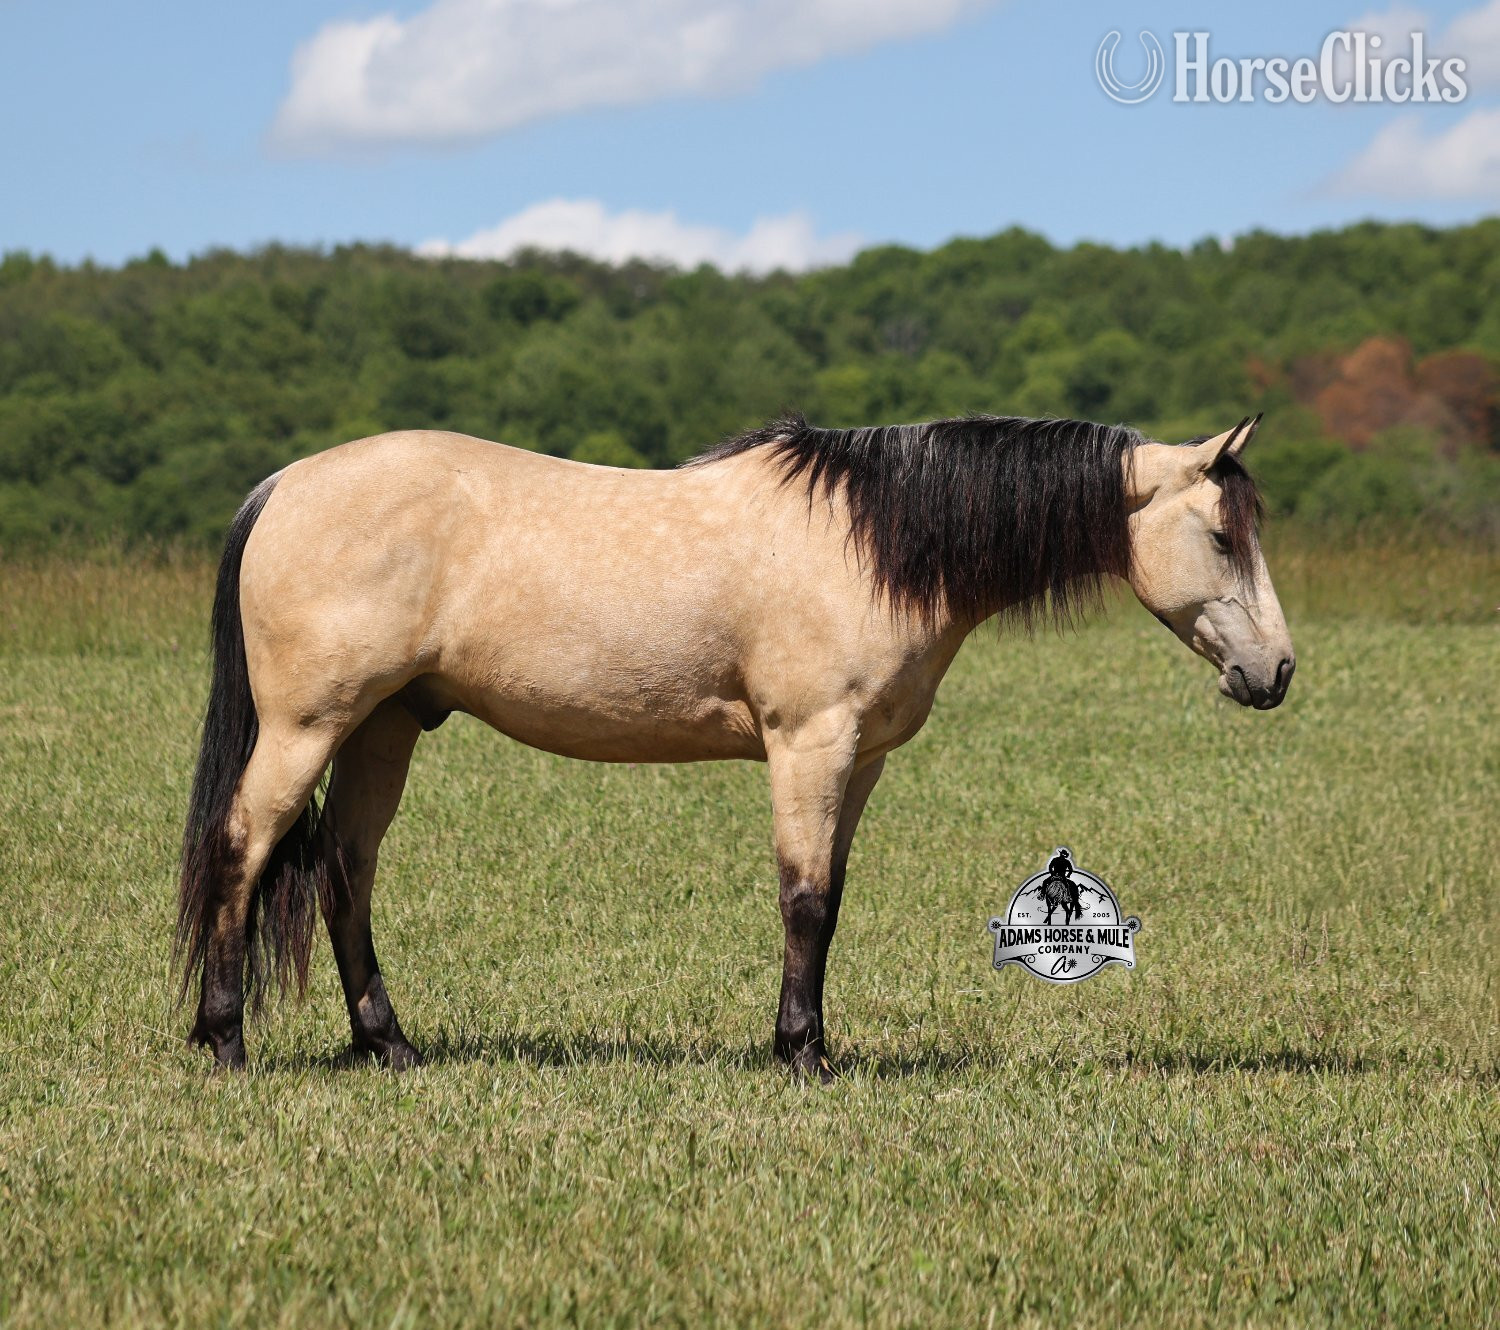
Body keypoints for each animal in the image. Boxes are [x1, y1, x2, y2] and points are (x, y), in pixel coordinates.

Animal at [177, 411, 1294, 1081]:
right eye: (1223, 535)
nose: (1276, 671)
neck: (872, 545)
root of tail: (283, 484)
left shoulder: (860, 761)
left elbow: (831, 901)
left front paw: (812, 1043)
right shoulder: (811, 745)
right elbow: (803, 899)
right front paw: (802, 1056)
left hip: (382, 729)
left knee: (344, 872)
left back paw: (390, 1045)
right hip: (310, 727)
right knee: (242, 849)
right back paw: (226, 1041)